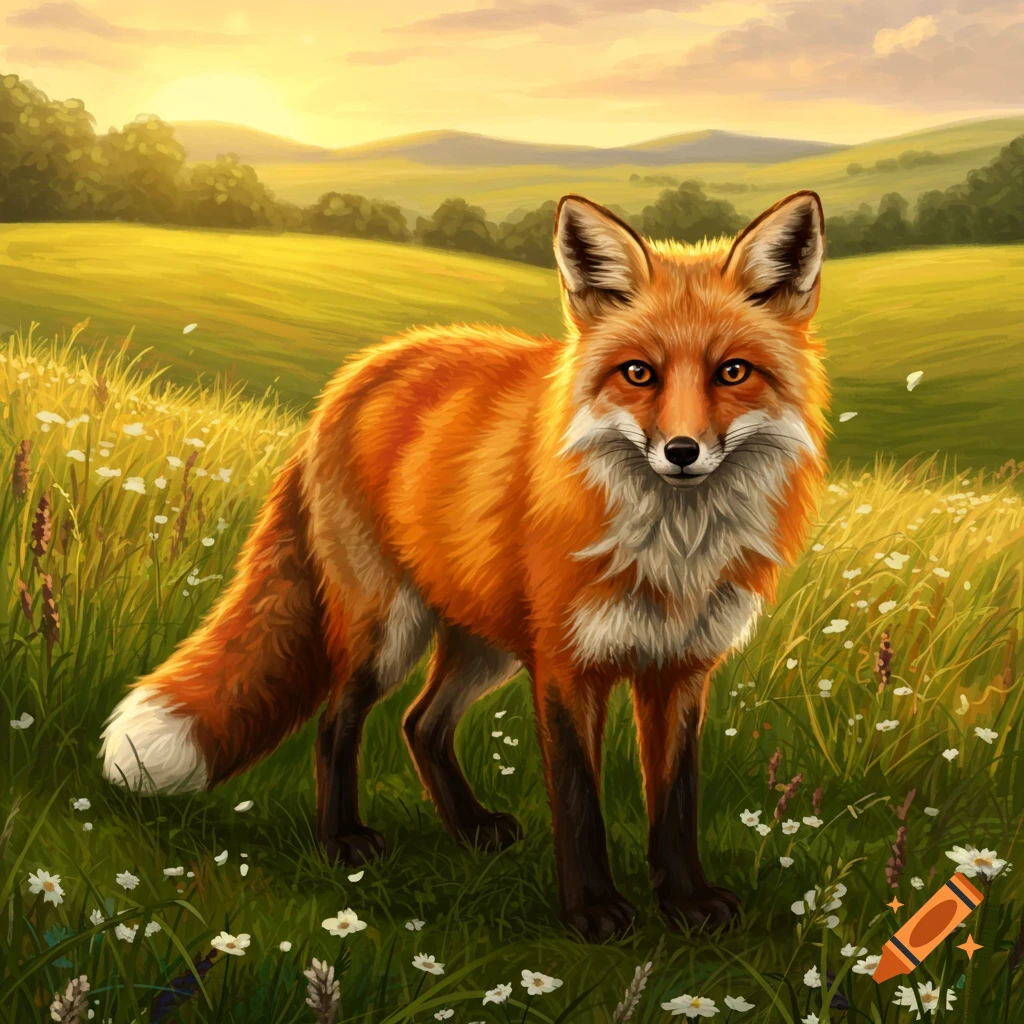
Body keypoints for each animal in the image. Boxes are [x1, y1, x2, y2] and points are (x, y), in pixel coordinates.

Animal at [100, 189, 828, 941]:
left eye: (732, 371)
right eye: (638, 373)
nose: (682, 451)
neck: (674, 551)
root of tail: (357, 373)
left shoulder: (680, 669)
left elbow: (676, 804)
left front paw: (684, 903)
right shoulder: (565, 665)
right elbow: (579, 801)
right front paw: (592, 911)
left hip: (487, 645)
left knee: (420, 724)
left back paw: (469, 827)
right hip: (389, 632)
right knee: (337, 722)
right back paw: (341, 841)